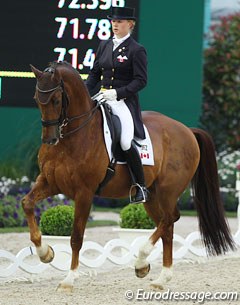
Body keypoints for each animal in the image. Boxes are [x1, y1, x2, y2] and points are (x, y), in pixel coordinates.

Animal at [22, 61, 234, 290]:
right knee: (166, 225)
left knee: (170, 218)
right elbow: (27, 203)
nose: (49, 140)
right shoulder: (50, 182)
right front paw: (45, 253)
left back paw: (142, 261)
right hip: (152, 195)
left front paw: (69, 279)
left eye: (56, 100)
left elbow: (76, 236)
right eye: (36, 99)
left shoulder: (84, 193)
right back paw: (160, 277)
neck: (74, 136)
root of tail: (187, 130)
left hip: (168, 191)